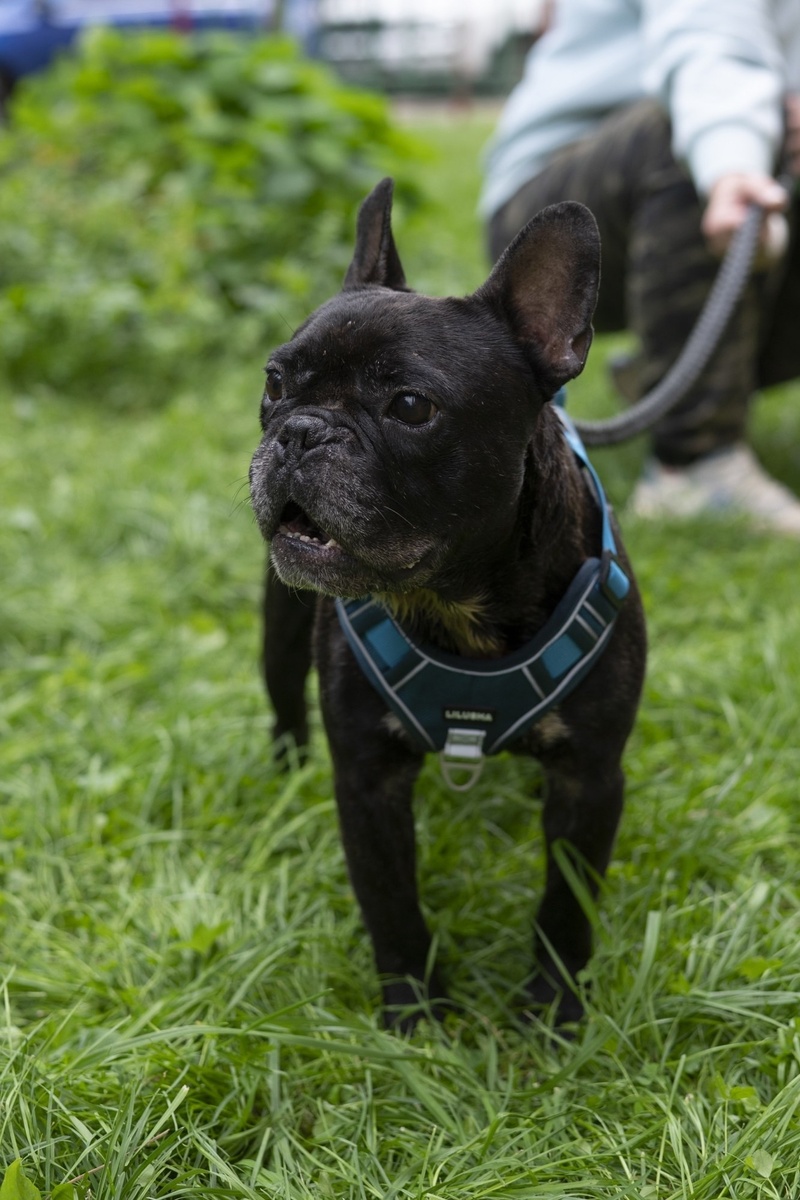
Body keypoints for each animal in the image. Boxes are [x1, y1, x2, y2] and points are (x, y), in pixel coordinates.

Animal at [249, 178, 646, 1029]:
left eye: (409, 406)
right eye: (274, 383)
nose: (299, 431)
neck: (454, 603)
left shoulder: (591, 780)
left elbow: (566, 908)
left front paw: (551, 1014)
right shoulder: (366, 781)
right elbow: (392, 904)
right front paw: (414, 1017)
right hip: (281, 626)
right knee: (282, 697)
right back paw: (283, 771)